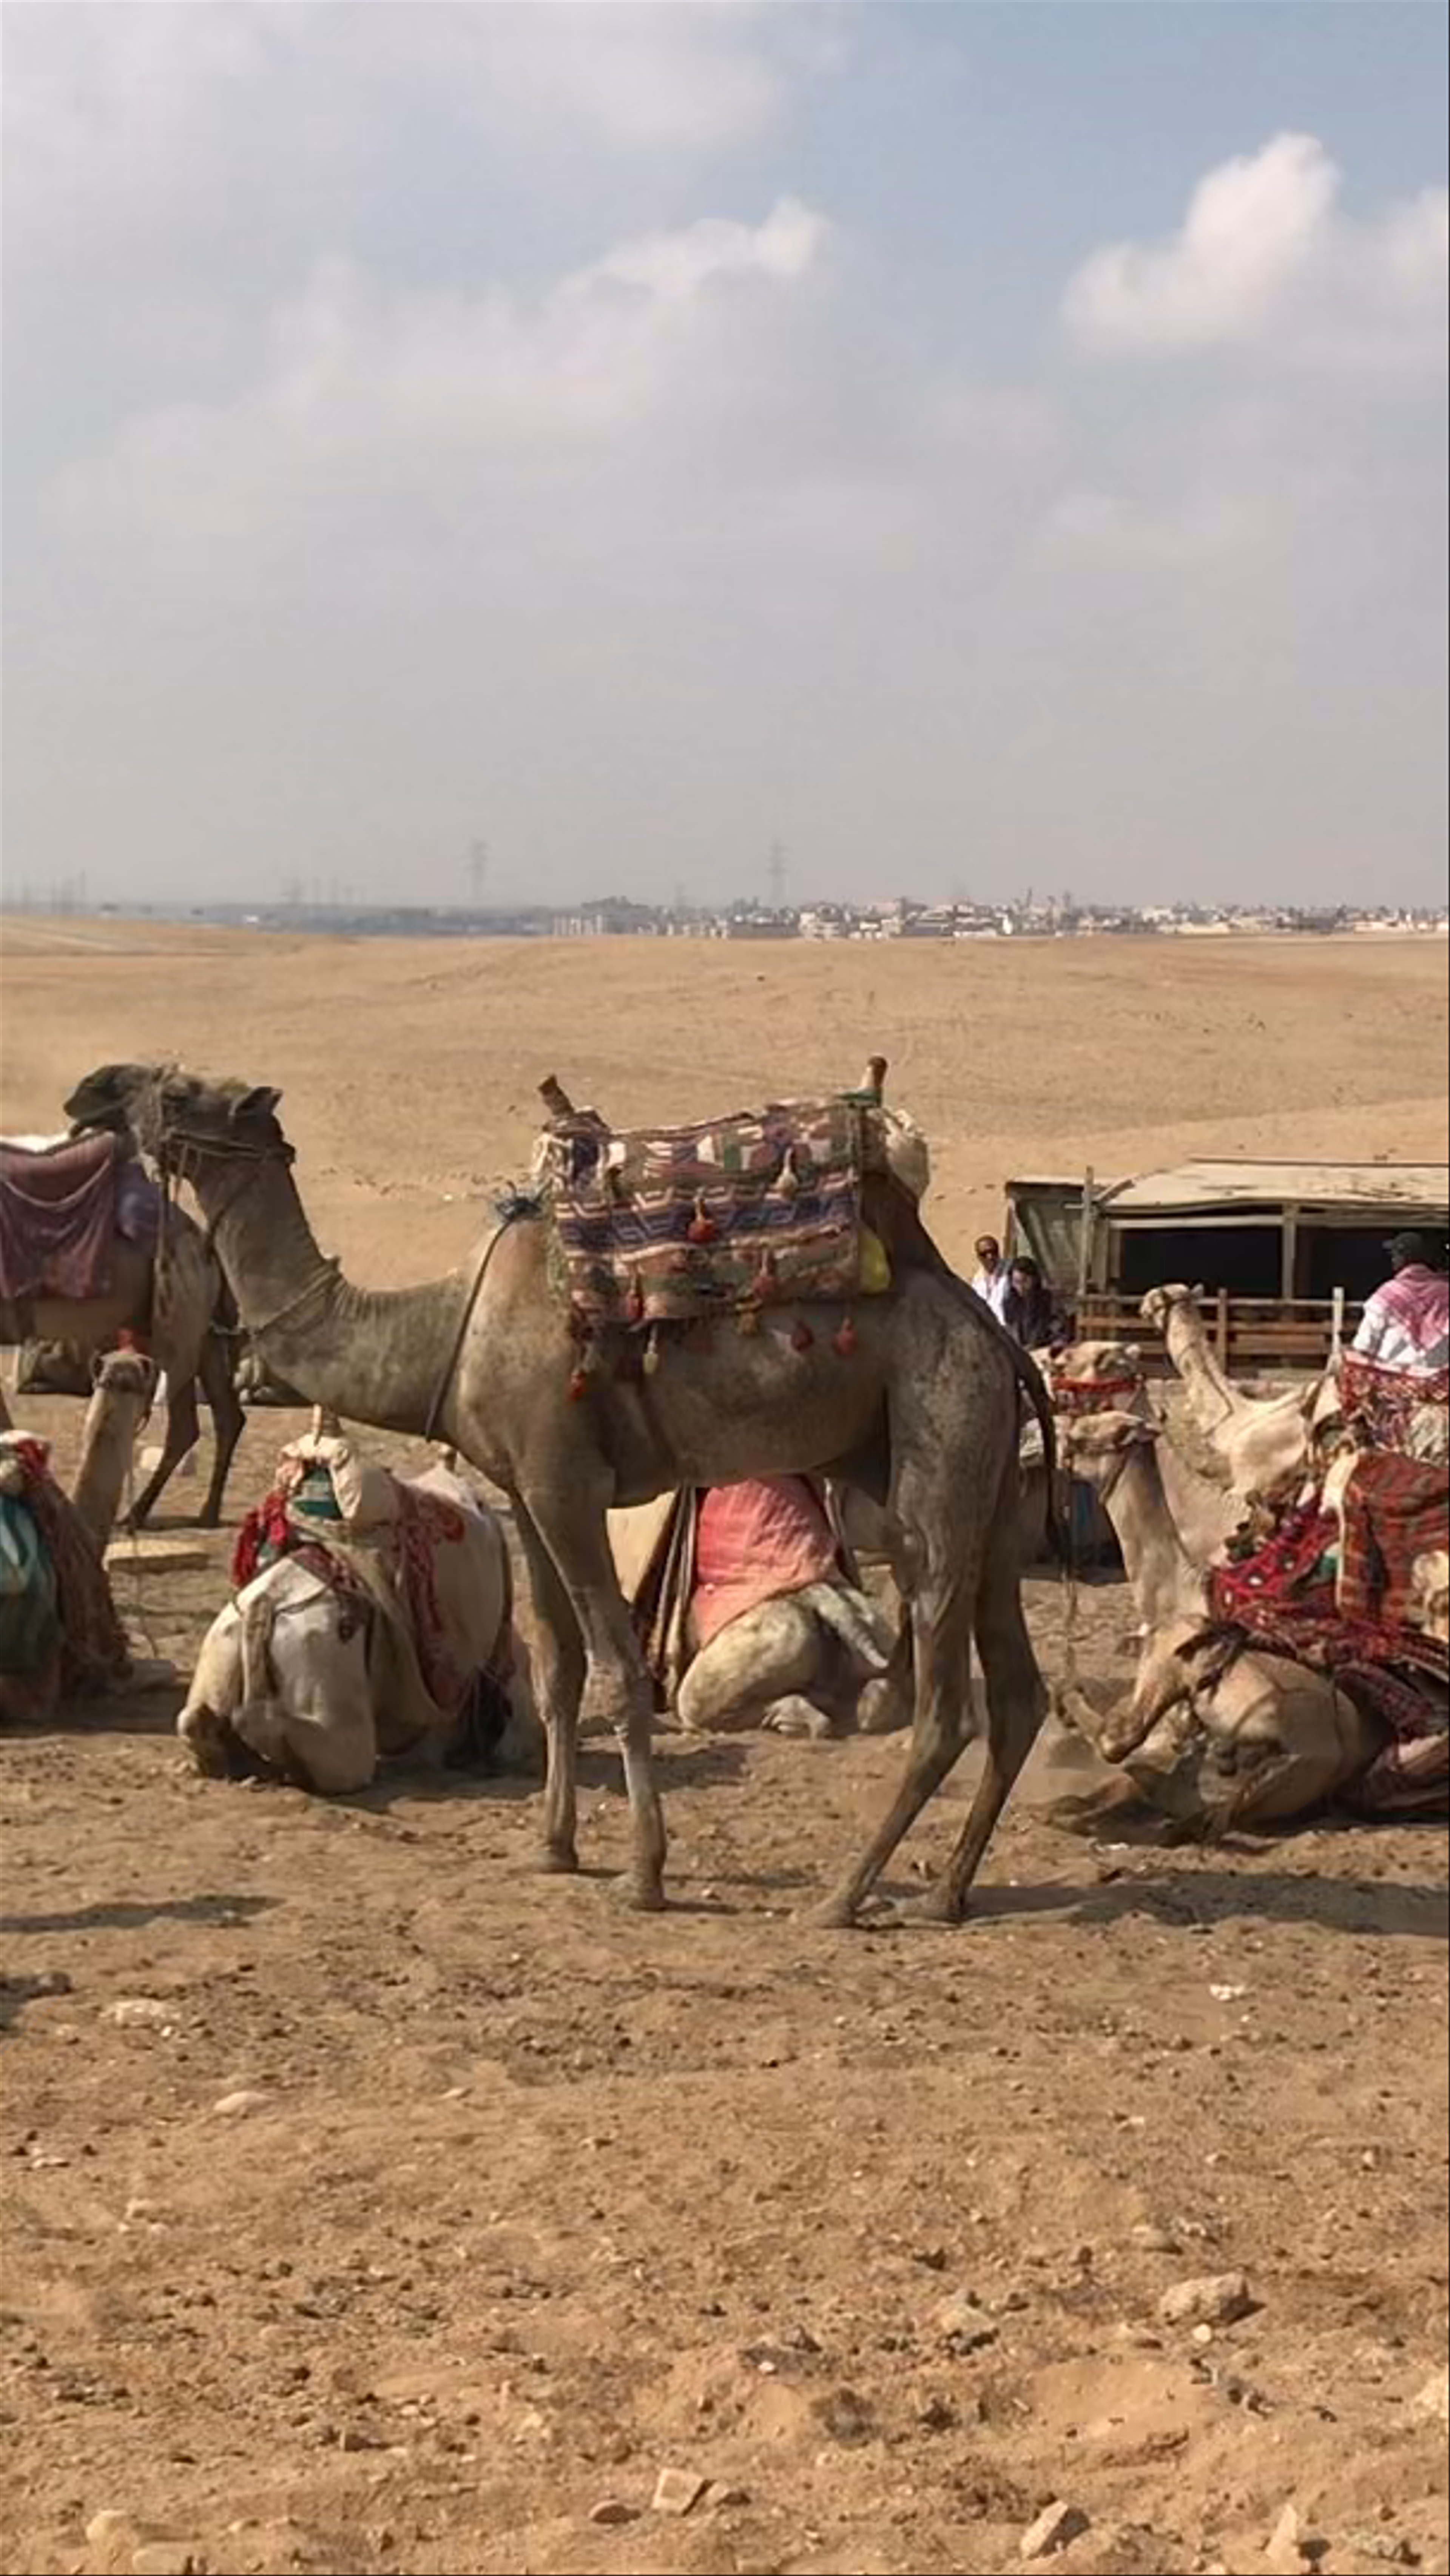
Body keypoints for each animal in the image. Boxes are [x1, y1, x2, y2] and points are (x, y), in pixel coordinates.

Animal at [0, 1131, 245, 1526]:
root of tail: (204, 1245)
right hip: (194, 1329)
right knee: (226, 1414)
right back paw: (206, 1512)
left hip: (177, 1323)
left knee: (185, 1425)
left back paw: (136, 1514)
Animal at [68, 1061, 1053, 1927]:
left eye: (180, 1088)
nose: (90, 1092)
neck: (441, 1331)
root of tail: (991, 1334)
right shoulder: (522, 1489)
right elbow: (557, 1668)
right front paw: (553, 1846)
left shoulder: (565, 1481)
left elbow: (616, 1671)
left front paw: (643, 1874)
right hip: (990, 1485)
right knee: (1015, 1692)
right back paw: (943, 1892)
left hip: (940, 1440)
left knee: (945, 1701)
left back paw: (844, 1896)